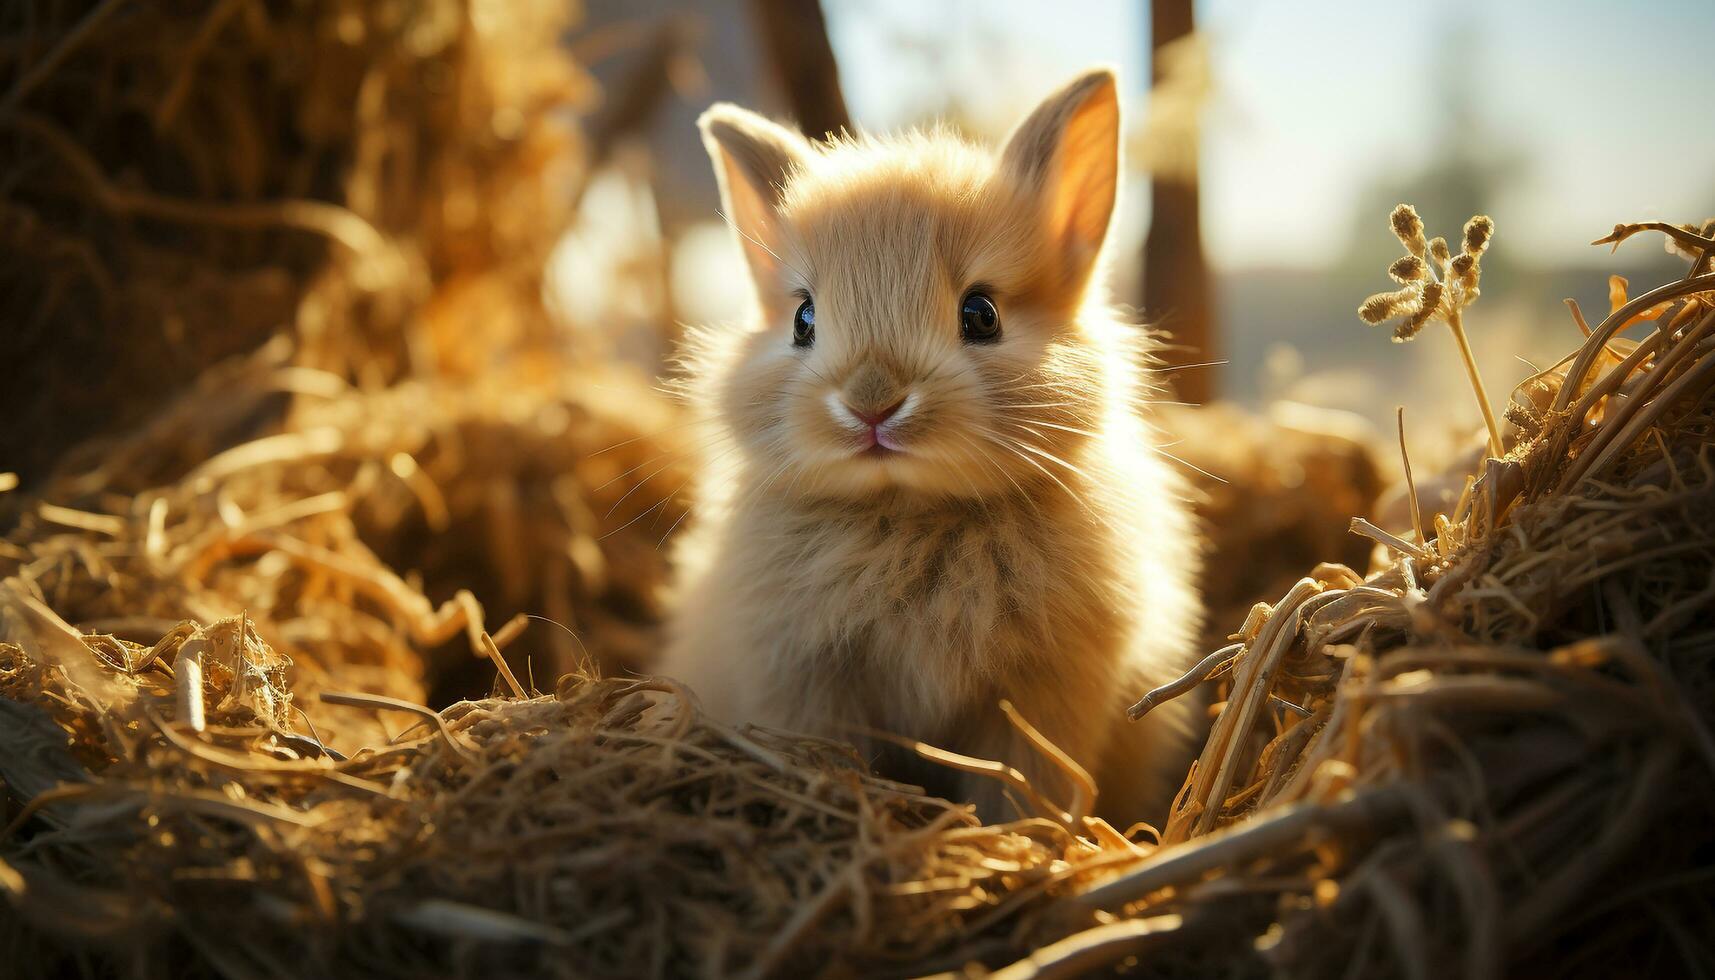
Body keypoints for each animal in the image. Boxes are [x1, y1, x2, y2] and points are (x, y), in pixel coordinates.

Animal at [661, 66, 1200, 820]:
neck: (912, 511)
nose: (871, 403)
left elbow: (1022, 784)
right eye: (803, 320)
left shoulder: (1036, 700)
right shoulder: (805, 682)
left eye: (981, 314)